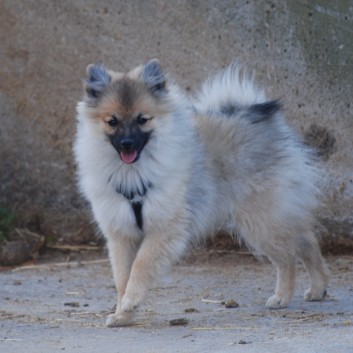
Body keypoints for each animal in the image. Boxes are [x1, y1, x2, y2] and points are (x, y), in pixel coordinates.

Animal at [73, 59, 328, 326]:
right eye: (112, 122)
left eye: (142, 119)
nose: (127, 144)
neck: (134, 174)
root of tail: (255, 115)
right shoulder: (122, 234)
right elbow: (122, 277)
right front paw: (123, 314)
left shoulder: (164, 228)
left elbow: (141, 265)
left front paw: (130, 302)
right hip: (272, 218)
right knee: (307, 242)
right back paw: (318, 288)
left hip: (261, 222)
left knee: (288, 258)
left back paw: (282, 296)